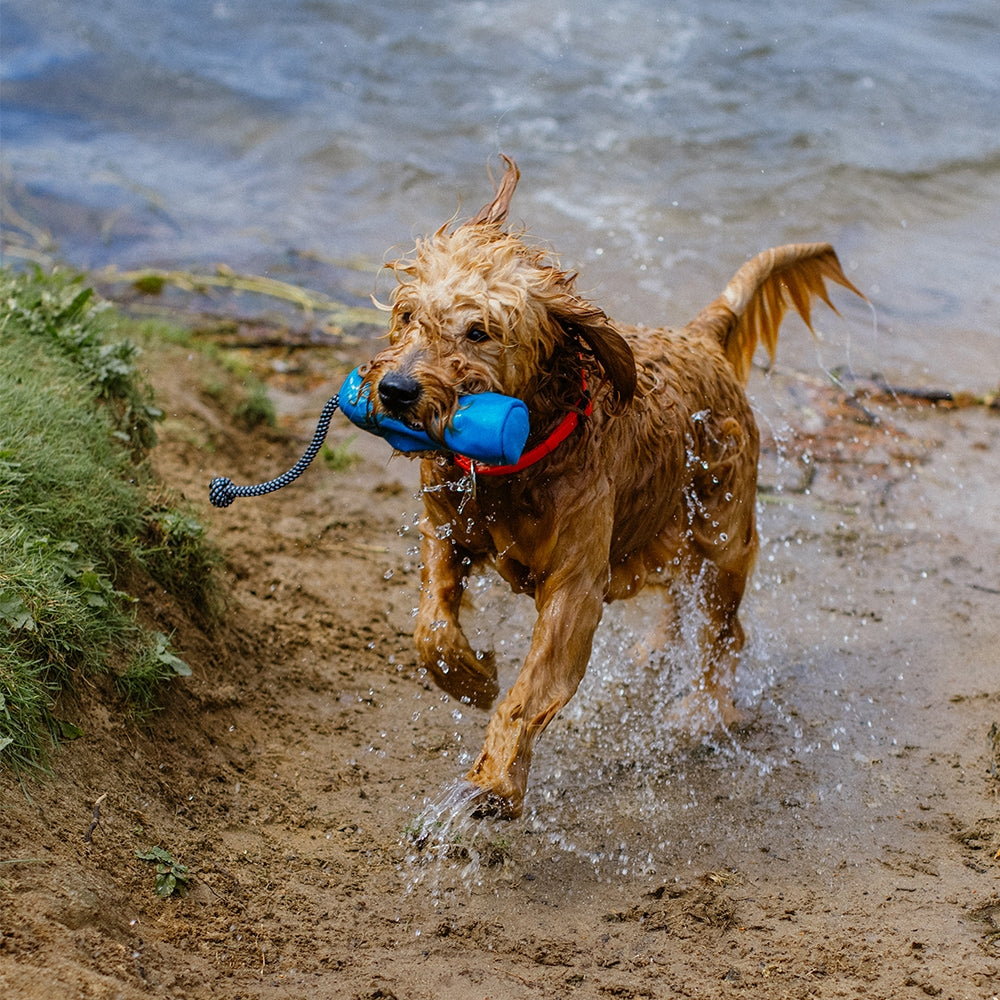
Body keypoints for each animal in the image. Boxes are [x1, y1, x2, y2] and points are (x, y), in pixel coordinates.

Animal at [364, 154, 864, 812]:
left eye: (479, 332)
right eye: (408, 316)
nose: (394, 390)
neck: (515, 466)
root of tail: (701, 336)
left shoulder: (574, 586)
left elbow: (529, 691)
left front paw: (494, 780)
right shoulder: (445, 530)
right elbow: (431, 628)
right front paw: (471, 679)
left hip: (723, 532)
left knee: (725, 632)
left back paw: (703, 712)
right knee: (678, 592)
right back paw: (657, 647)